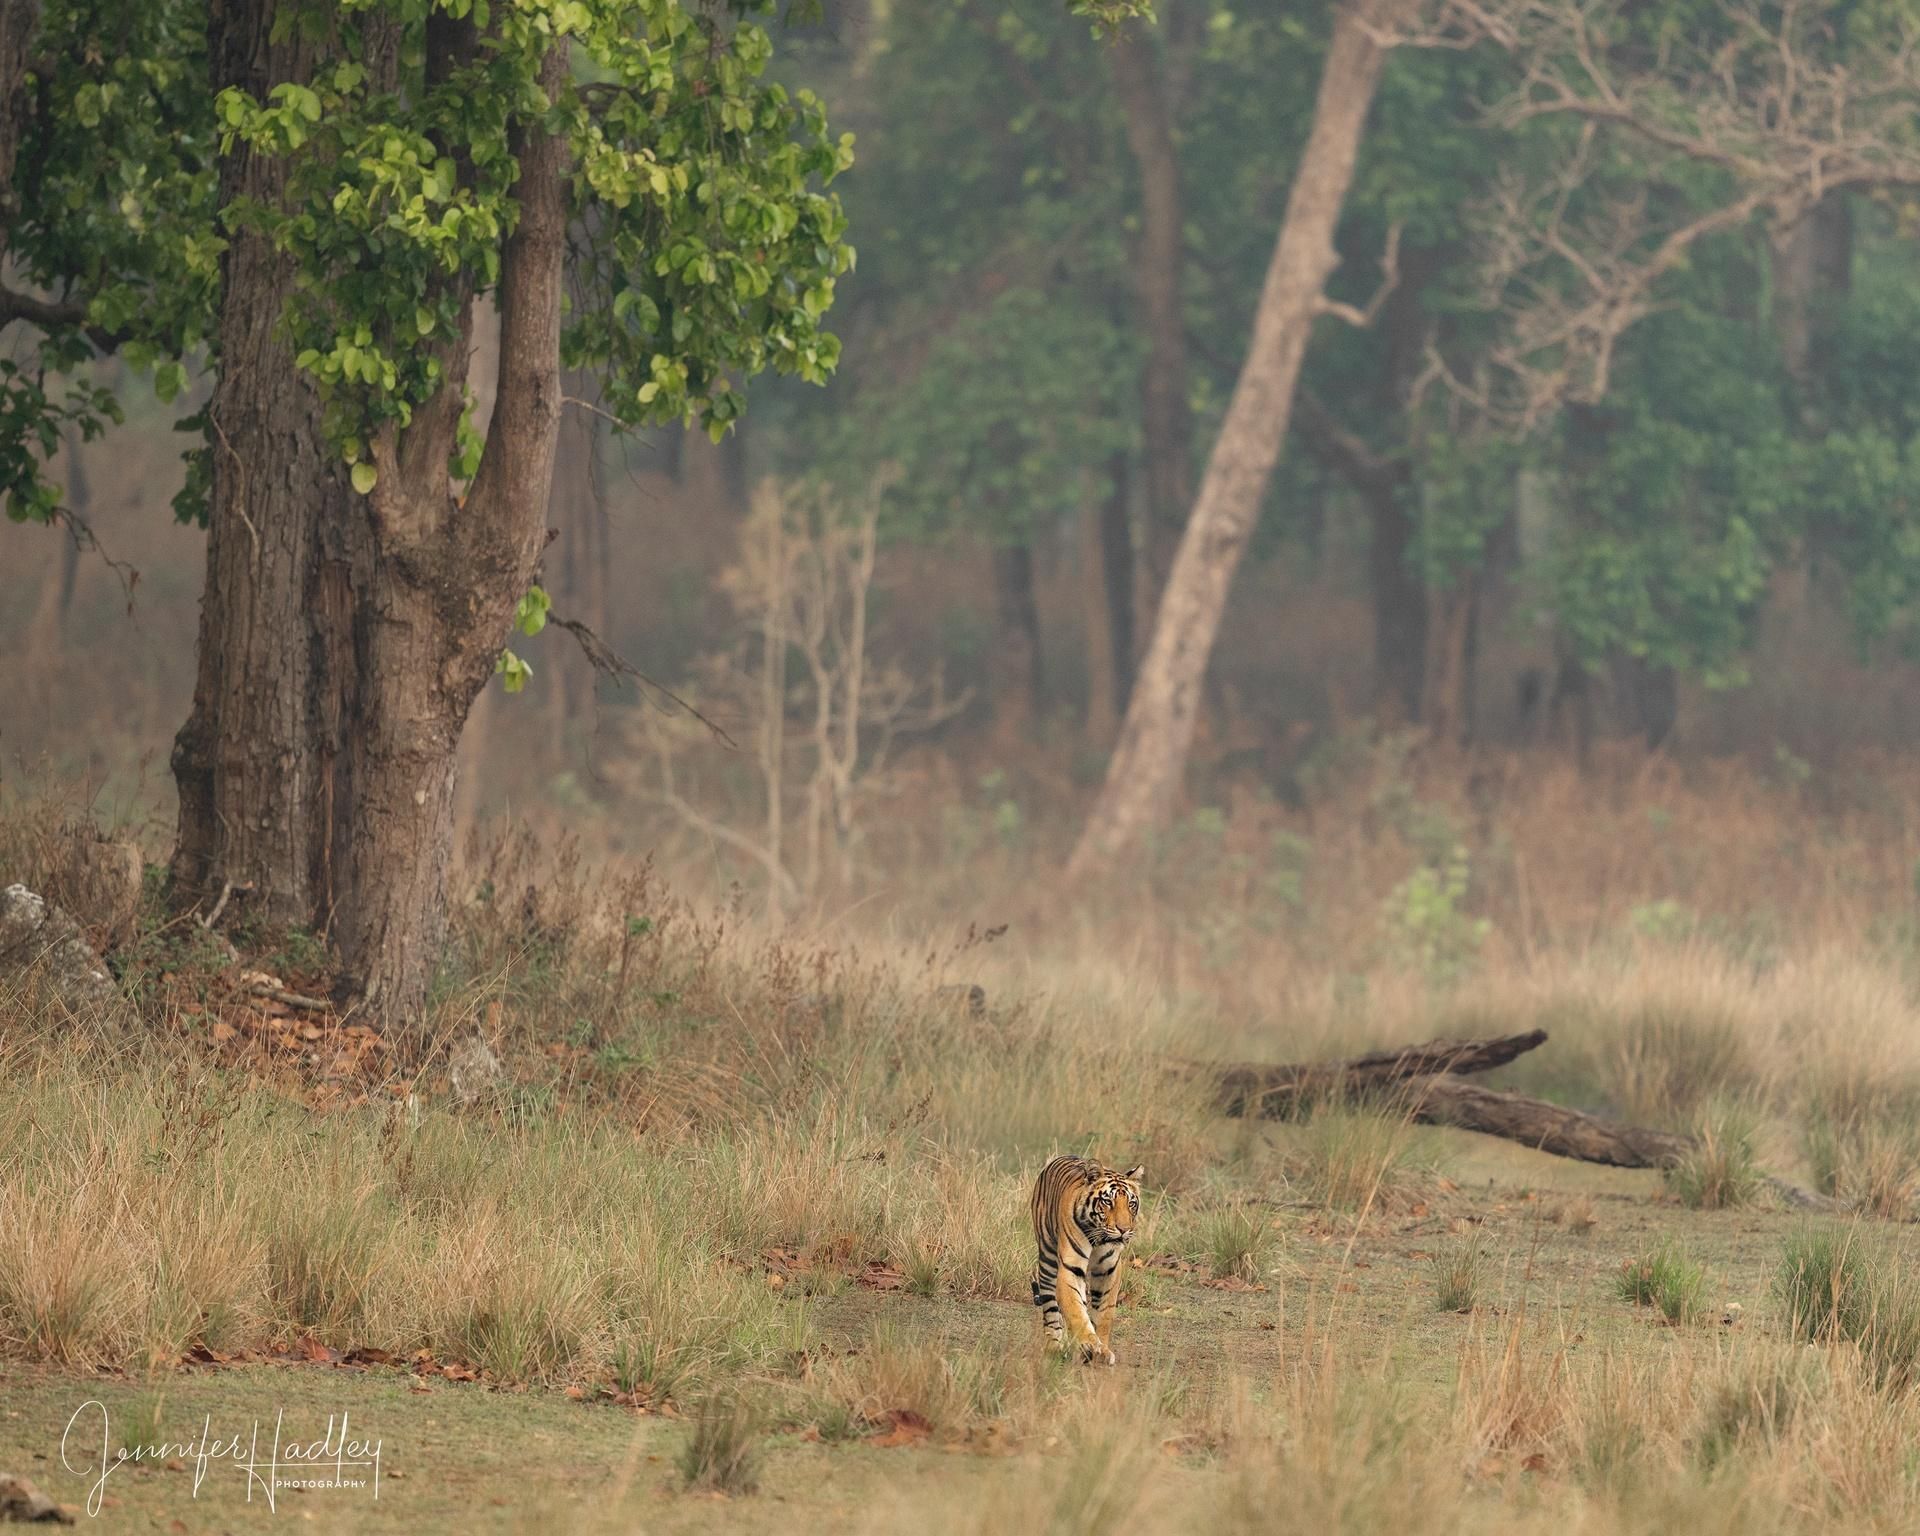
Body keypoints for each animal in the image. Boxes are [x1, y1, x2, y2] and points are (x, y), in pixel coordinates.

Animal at [1029, 1155, 1145, 1366]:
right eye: (1107, 1202)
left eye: (1131, 1203)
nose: (1124, 1229)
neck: (1100, 1240)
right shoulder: (1070, 1268)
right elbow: (1076, 1311)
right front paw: (1090, 1344)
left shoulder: (1109, 1271)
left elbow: (1104, 1314)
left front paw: (1102, 1349)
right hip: (1047, 1257)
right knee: (1050, 1305)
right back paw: (1055, 1345)